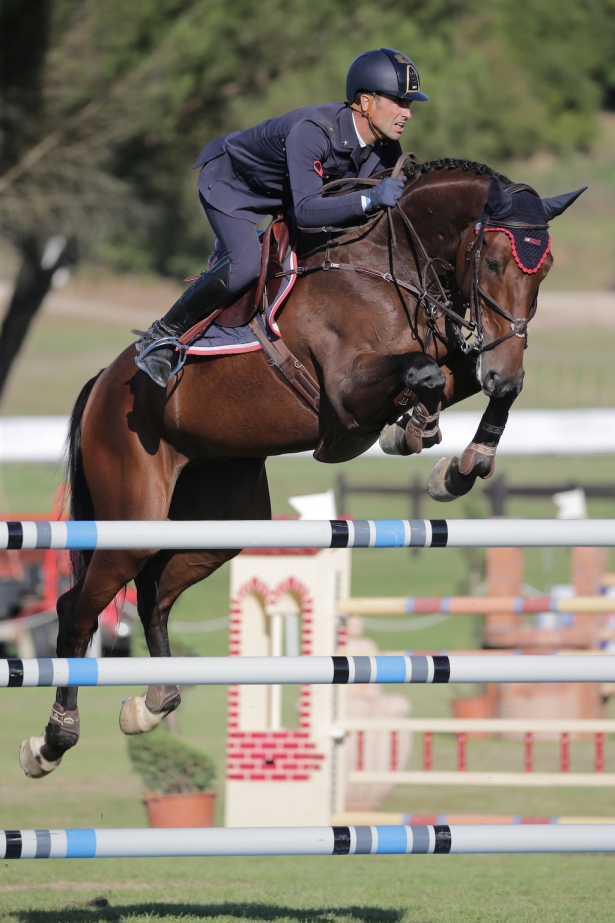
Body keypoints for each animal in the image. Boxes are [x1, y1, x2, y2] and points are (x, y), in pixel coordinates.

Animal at [20, 159, 588, 780]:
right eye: (492, 262)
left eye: (545, 269)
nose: (503, 367)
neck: (390, 268)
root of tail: (103, 382)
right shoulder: (344, 390)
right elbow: (423, 372)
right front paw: (419, 432)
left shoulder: (456, 360)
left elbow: (459, 379)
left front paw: (458, 463)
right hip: (133, 517)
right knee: (78, 608)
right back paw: (51, 741)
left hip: (220, 523)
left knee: (152, 595)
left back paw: (152, 704)